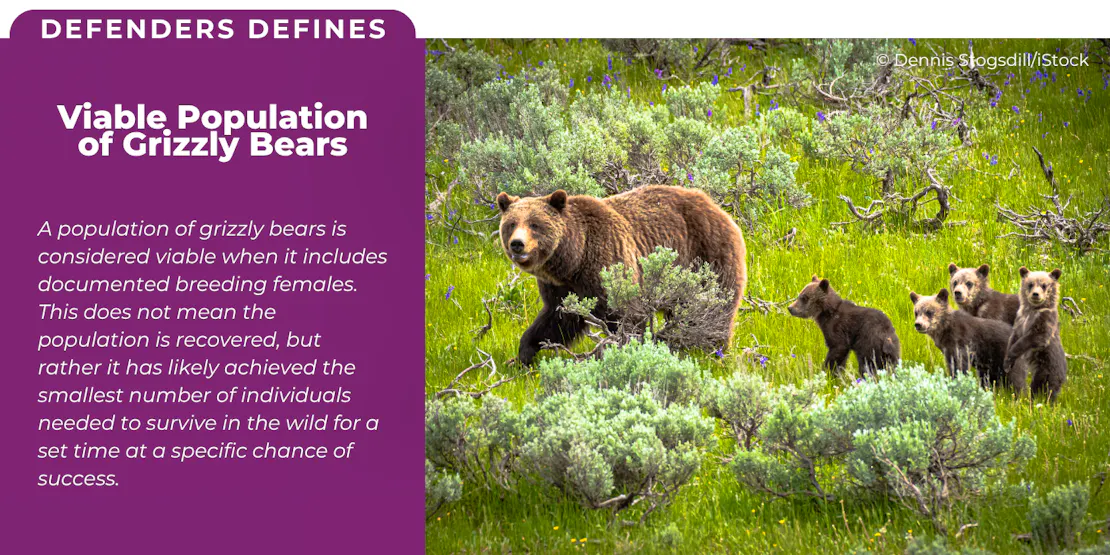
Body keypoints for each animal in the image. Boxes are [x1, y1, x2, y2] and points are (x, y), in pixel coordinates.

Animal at [496, 185, 747, 366]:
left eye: (535, 224)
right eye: (511, 224)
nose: (517, 244)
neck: (575, 259)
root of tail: (720, 210)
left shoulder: (609, 264)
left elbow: (628, 316)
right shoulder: (561, 288)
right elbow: (557, 319)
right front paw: (521, 356)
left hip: (707, 257)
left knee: (712, 308)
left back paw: (710, 349)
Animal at [1005, 267, 1067, 402]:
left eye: (1044, 285)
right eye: (1030, 284)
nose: (1035, 294)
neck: (1032, 310)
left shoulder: (1044, 319)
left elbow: (1035, 338)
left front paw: (1012, 353)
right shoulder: (1020, 319)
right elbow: (1013, 338)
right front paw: (1007, 363)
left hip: (1047, 367)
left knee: (1042, 387)